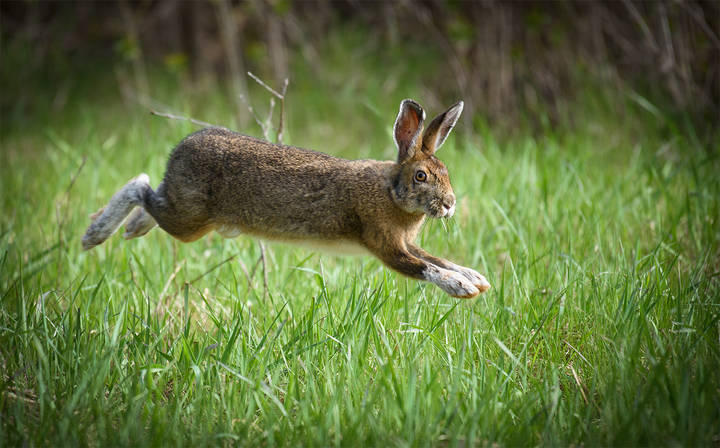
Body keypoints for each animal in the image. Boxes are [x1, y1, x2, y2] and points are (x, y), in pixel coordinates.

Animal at [82, 99, 491, 298]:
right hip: (189, 219)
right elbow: (425, 268)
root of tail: (180, 150)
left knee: (152, 198)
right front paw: (462, 289)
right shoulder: (385, 244)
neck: (392, 191)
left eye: (446, 172)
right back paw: (95, 234)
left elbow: (437, 258)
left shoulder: (405, 242)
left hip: (190, 216)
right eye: (421, 176)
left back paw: (131, 228)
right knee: (140, 186)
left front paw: (476, 277)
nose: (450, 204)